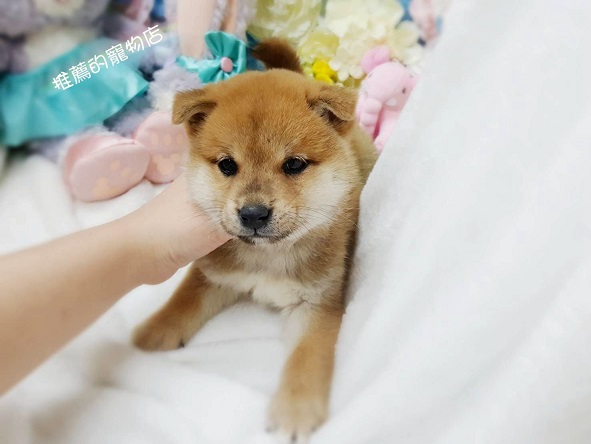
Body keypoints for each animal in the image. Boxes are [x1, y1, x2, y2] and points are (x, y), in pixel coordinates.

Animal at [133, 39, 377, 441]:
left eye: (294, 165)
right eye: (227, 165)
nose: (252, 214)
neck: (269, 257)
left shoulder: (317, 303)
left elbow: (306, 357)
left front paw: (296, 409)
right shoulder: (214, 273)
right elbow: (183, 301)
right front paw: (156, 330)